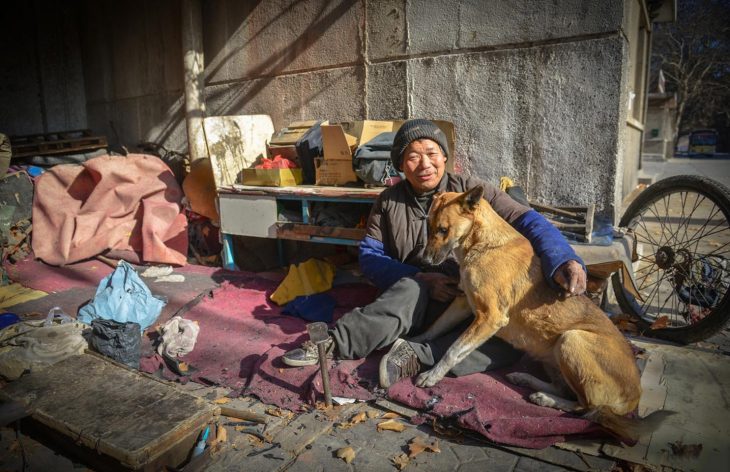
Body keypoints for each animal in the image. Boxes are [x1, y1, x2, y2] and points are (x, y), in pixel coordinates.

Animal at [412, 186, 668, 440]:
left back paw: (546, 399)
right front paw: (413, 341)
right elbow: (433, 329)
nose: (423, 260)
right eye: (429, 226)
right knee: (566, 390)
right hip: (552, 354)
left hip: (571, 339)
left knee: (585, 408)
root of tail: (635, 396)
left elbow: (452, 351)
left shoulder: (489, 317)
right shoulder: (463, 302)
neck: (482, 242)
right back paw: (527, 380)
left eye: (443, 229)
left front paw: (432, 375)